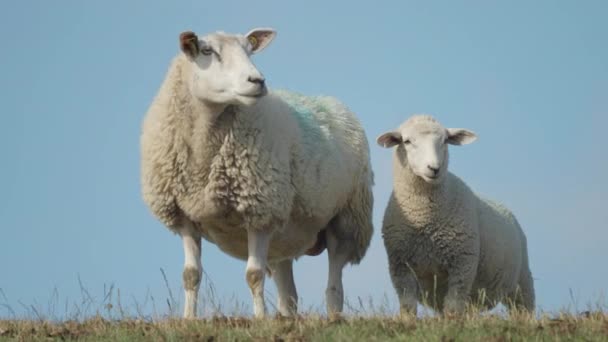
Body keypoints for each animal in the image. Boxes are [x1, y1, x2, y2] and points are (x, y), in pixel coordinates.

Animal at [140, 28, 372, 320]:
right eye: (207, 51)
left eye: (249, 51)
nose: (258, 81)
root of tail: (332, 103)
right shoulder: (183, 215)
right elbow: (191, 275)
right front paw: (188, 319)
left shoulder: (260, 212)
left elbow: (254, 275)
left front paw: (260, 319)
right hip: (284, 237)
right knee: (289, 294)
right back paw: (286, 318)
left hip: (346, 220)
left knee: (334, 283)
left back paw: (333, 318)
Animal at [378, 115, 536, 316]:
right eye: (407, 141)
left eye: (445, 140)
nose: (434, 168)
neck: (424, 218)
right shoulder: (400, 266)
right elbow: (408, 306)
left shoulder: (462, 265)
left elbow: (453, 308)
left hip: (521, 281)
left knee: (524, 309)